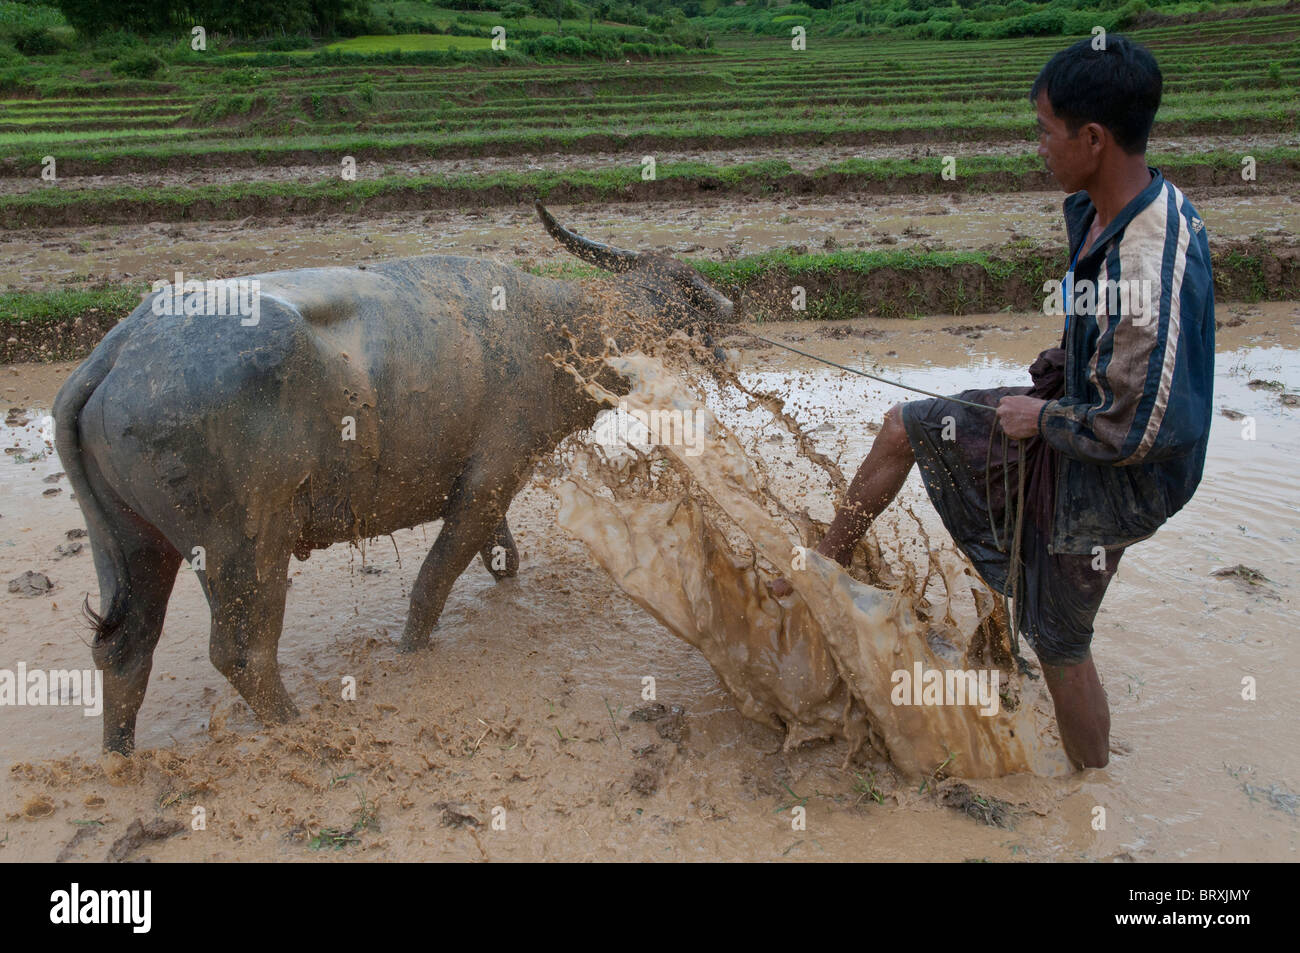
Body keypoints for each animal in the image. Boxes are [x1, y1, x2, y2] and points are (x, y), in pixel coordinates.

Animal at [58, 200, 733, 748]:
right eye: (692, 302)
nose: (731, 323)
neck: (549, 332)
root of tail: (118, 352)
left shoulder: (486, 489)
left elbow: (503, 557)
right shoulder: (489, 481)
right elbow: (432, 583)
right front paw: (411, 654)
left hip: (132, 541)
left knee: (123, 649)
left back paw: (120, 754)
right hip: (245, 543)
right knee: (241, 652)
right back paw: (296, 727)